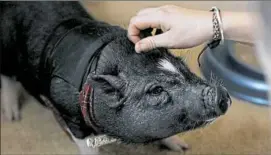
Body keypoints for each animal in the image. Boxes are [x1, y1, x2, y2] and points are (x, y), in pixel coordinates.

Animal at [0, 0, 232, 154]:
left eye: (183, 66)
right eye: (156, 90)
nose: (220, 94)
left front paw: (183, 148)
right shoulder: (69, 115)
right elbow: (86, 146)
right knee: (7, 77)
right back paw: (12, 117)